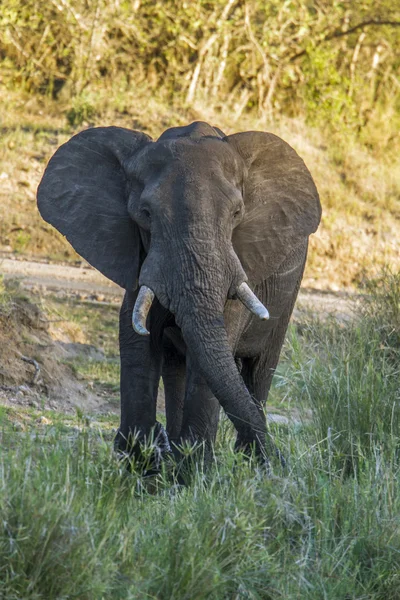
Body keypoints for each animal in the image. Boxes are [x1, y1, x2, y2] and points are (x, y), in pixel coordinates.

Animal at [36, 119, 320, 466]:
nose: (283, 463)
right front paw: (144, 461)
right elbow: (136, 342)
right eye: (145, 214)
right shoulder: (140, 259)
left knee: (260, 369)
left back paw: (249, 463)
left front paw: (191, 472)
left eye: (237, 214)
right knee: (177, 370)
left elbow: (210, 352)